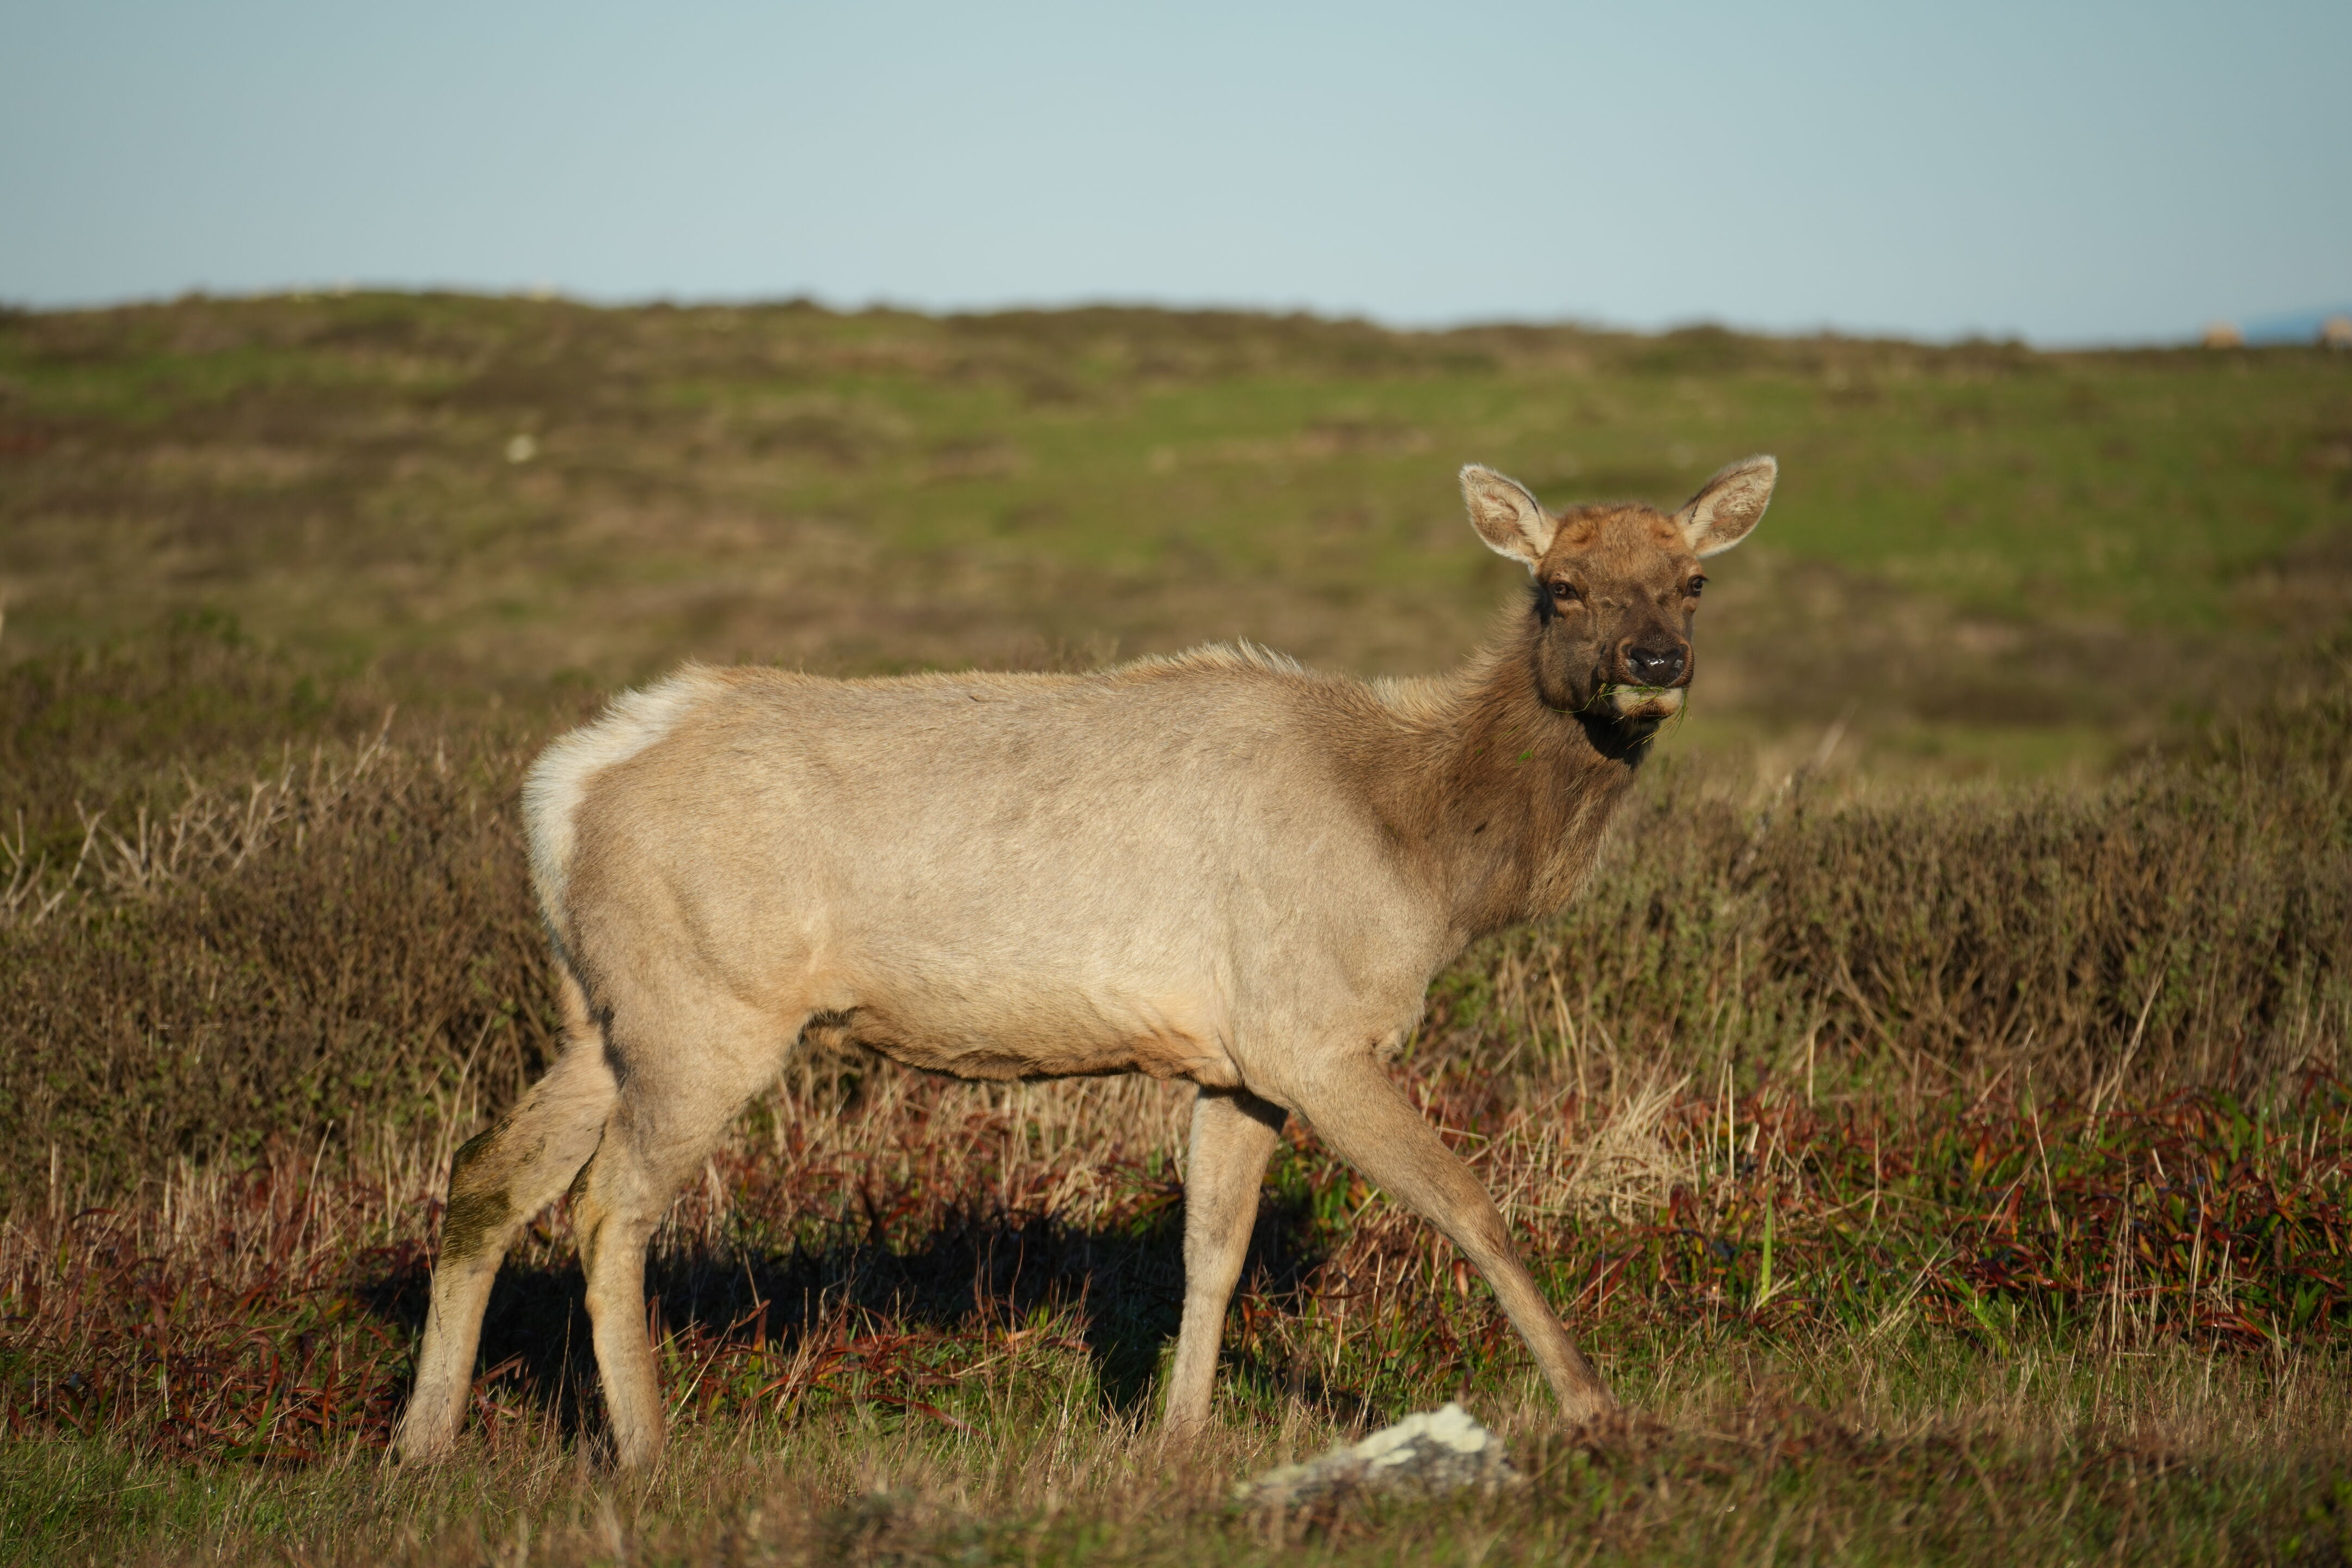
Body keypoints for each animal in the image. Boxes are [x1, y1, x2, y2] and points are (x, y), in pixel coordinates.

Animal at [393, 454, 1777, 1469]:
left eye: (1695, 580)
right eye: (1560, 585)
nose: (1656, 663)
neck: (1427, 853)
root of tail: (562, 787)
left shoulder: (1237, 1061)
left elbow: (1211, 1251)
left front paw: (1176, 1437)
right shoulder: (1316, 1029)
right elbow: (1471, 1205)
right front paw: (1600, 1410)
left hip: (601, 1006)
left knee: (488, 1173)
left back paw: (422, 1441)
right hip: (707, 1006)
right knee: (608, 1206)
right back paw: (646, 1453)